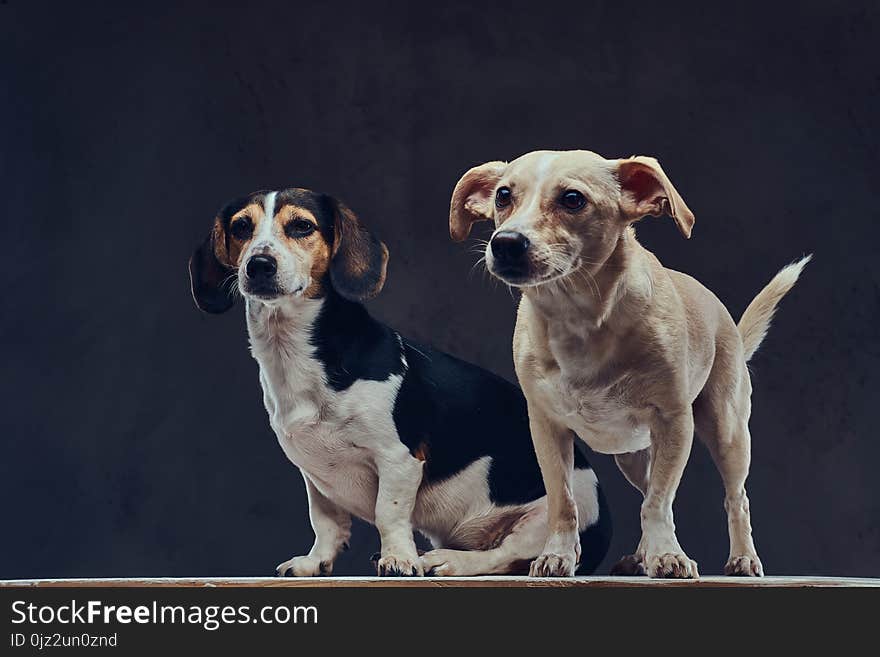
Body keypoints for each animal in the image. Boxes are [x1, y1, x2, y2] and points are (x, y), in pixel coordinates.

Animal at [188, 188, 608, 576]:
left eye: (302, 226)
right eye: (241, 227)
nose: (259, 265)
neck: (294, 351)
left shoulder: (399, 458)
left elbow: (388, 513)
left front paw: (398, 559)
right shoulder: (314, 476)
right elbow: (326, 523)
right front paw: (314, 562)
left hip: (551, 515)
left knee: (504, 557)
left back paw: (446, 561)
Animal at [454, 151, 812, 576]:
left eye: (572, 199)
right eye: (503, 196)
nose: (506, 243)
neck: (578, 320)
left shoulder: (674, 422)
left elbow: (659, 504)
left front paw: (668, 555)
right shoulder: (547, 428)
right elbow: (564, 502)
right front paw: (558, 554)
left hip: (727, 434)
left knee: (731, 499)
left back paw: (741, 557)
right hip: (635, 457)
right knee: (648, 494)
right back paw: (640, 557)